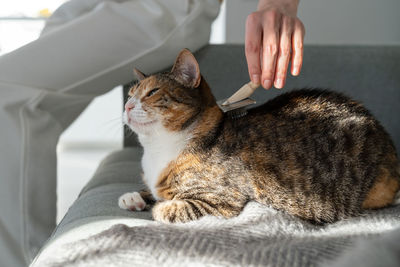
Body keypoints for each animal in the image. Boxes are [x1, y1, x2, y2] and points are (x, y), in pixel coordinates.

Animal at [119, 48, 400, 224]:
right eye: (131, 93)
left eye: (152, 92)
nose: (127, 106)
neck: (158, 148)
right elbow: (152, 192)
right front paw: (135, 197)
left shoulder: (220, 201)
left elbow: (168, 207)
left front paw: (157, 205)